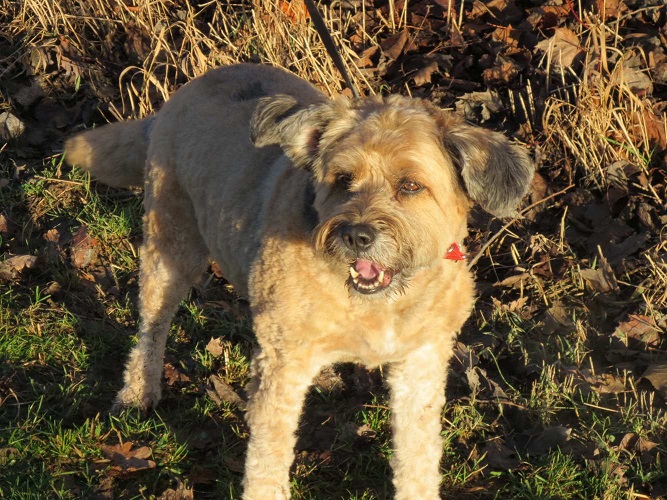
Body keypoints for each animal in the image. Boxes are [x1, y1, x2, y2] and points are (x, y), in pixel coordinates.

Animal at [66, 63, 533, 499]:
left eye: (411, 185)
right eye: (343, 179)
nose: (356, 235)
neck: (377, 304)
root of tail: (176, 98)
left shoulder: (420, 364)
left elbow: (417, 456)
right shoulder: (281, 366)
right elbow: (267, 457)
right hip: (170, 244)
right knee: (153, 325)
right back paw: (137, 392)